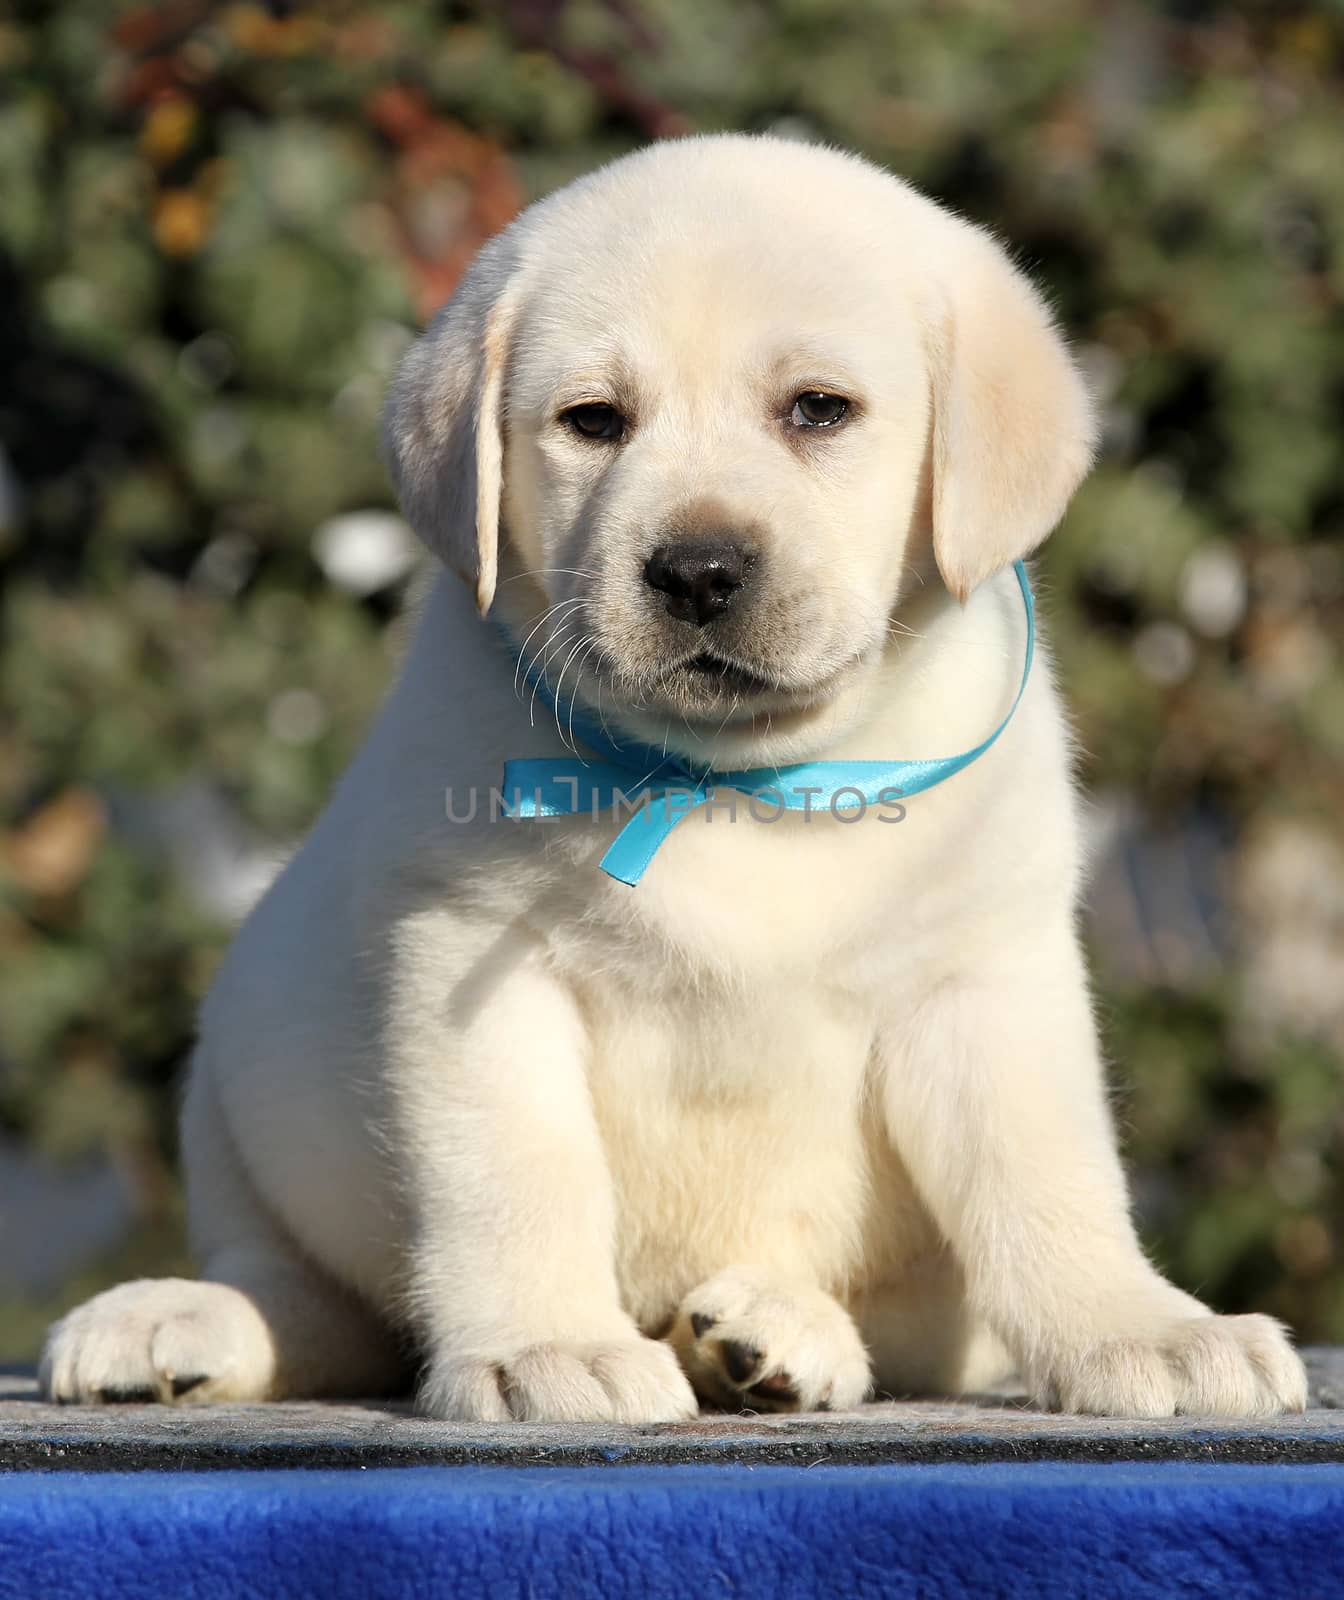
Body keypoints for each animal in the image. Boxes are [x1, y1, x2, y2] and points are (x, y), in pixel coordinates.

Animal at [42, 131, 1299, 1420]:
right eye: (594, 420)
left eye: (819, 410)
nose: (698, 570)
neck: (740, 779)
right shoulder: (474, 964)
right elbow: (519, 1178)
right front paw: (546, 1343)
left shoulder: (982, 974)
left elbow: (1047, 1176)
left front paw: (1137, 1327)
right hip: (239, 1096)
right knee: (312, 1296)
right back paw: (179, 1319)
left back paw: (772, 1333)